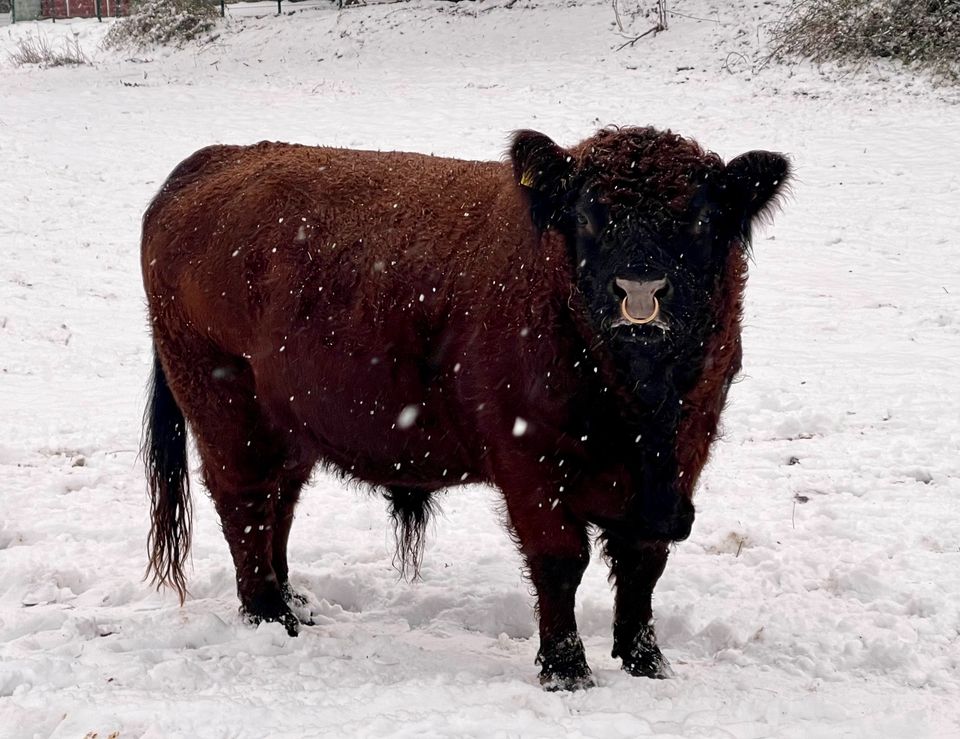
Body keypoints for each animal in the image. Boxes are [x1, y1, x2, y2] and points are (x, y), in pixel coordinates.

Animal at [142, 125, 788, 688]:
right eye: (586, 216)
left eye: (701, 218)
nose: (640, 292)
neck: (638, 395)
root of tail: (213, 162)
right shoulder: (529, 464)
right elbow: (561, 561)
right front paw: (567, 671)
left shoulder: (684, 454)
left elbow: (642, 562)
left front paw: (647, 662)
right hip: (226, 409)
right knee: (245, 503)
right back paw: (269, 615)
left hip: (289, 425)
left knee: (280, 503)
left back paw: (292, 599)